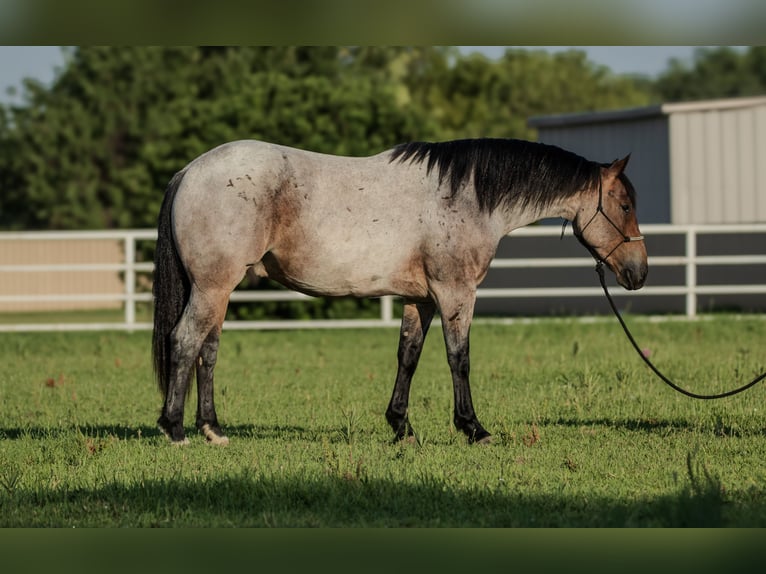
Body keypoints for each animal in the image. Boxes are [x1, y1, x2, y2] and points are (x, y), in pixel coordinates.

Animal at [152, 137, 648, 448]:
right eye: (624, 205)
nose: (639, 272)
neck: (466, 196)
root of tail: (189, 172)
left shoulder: (421, 299)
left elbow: (408, 356)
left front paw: (401, 427)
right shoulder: (455, 293)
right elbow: (459, 358)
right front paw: (473, 428)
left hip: (219, 290)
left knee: (208, 351)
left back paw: (213, 429)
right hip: (213, 287)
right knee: (185, 341)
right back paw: (174, 430)